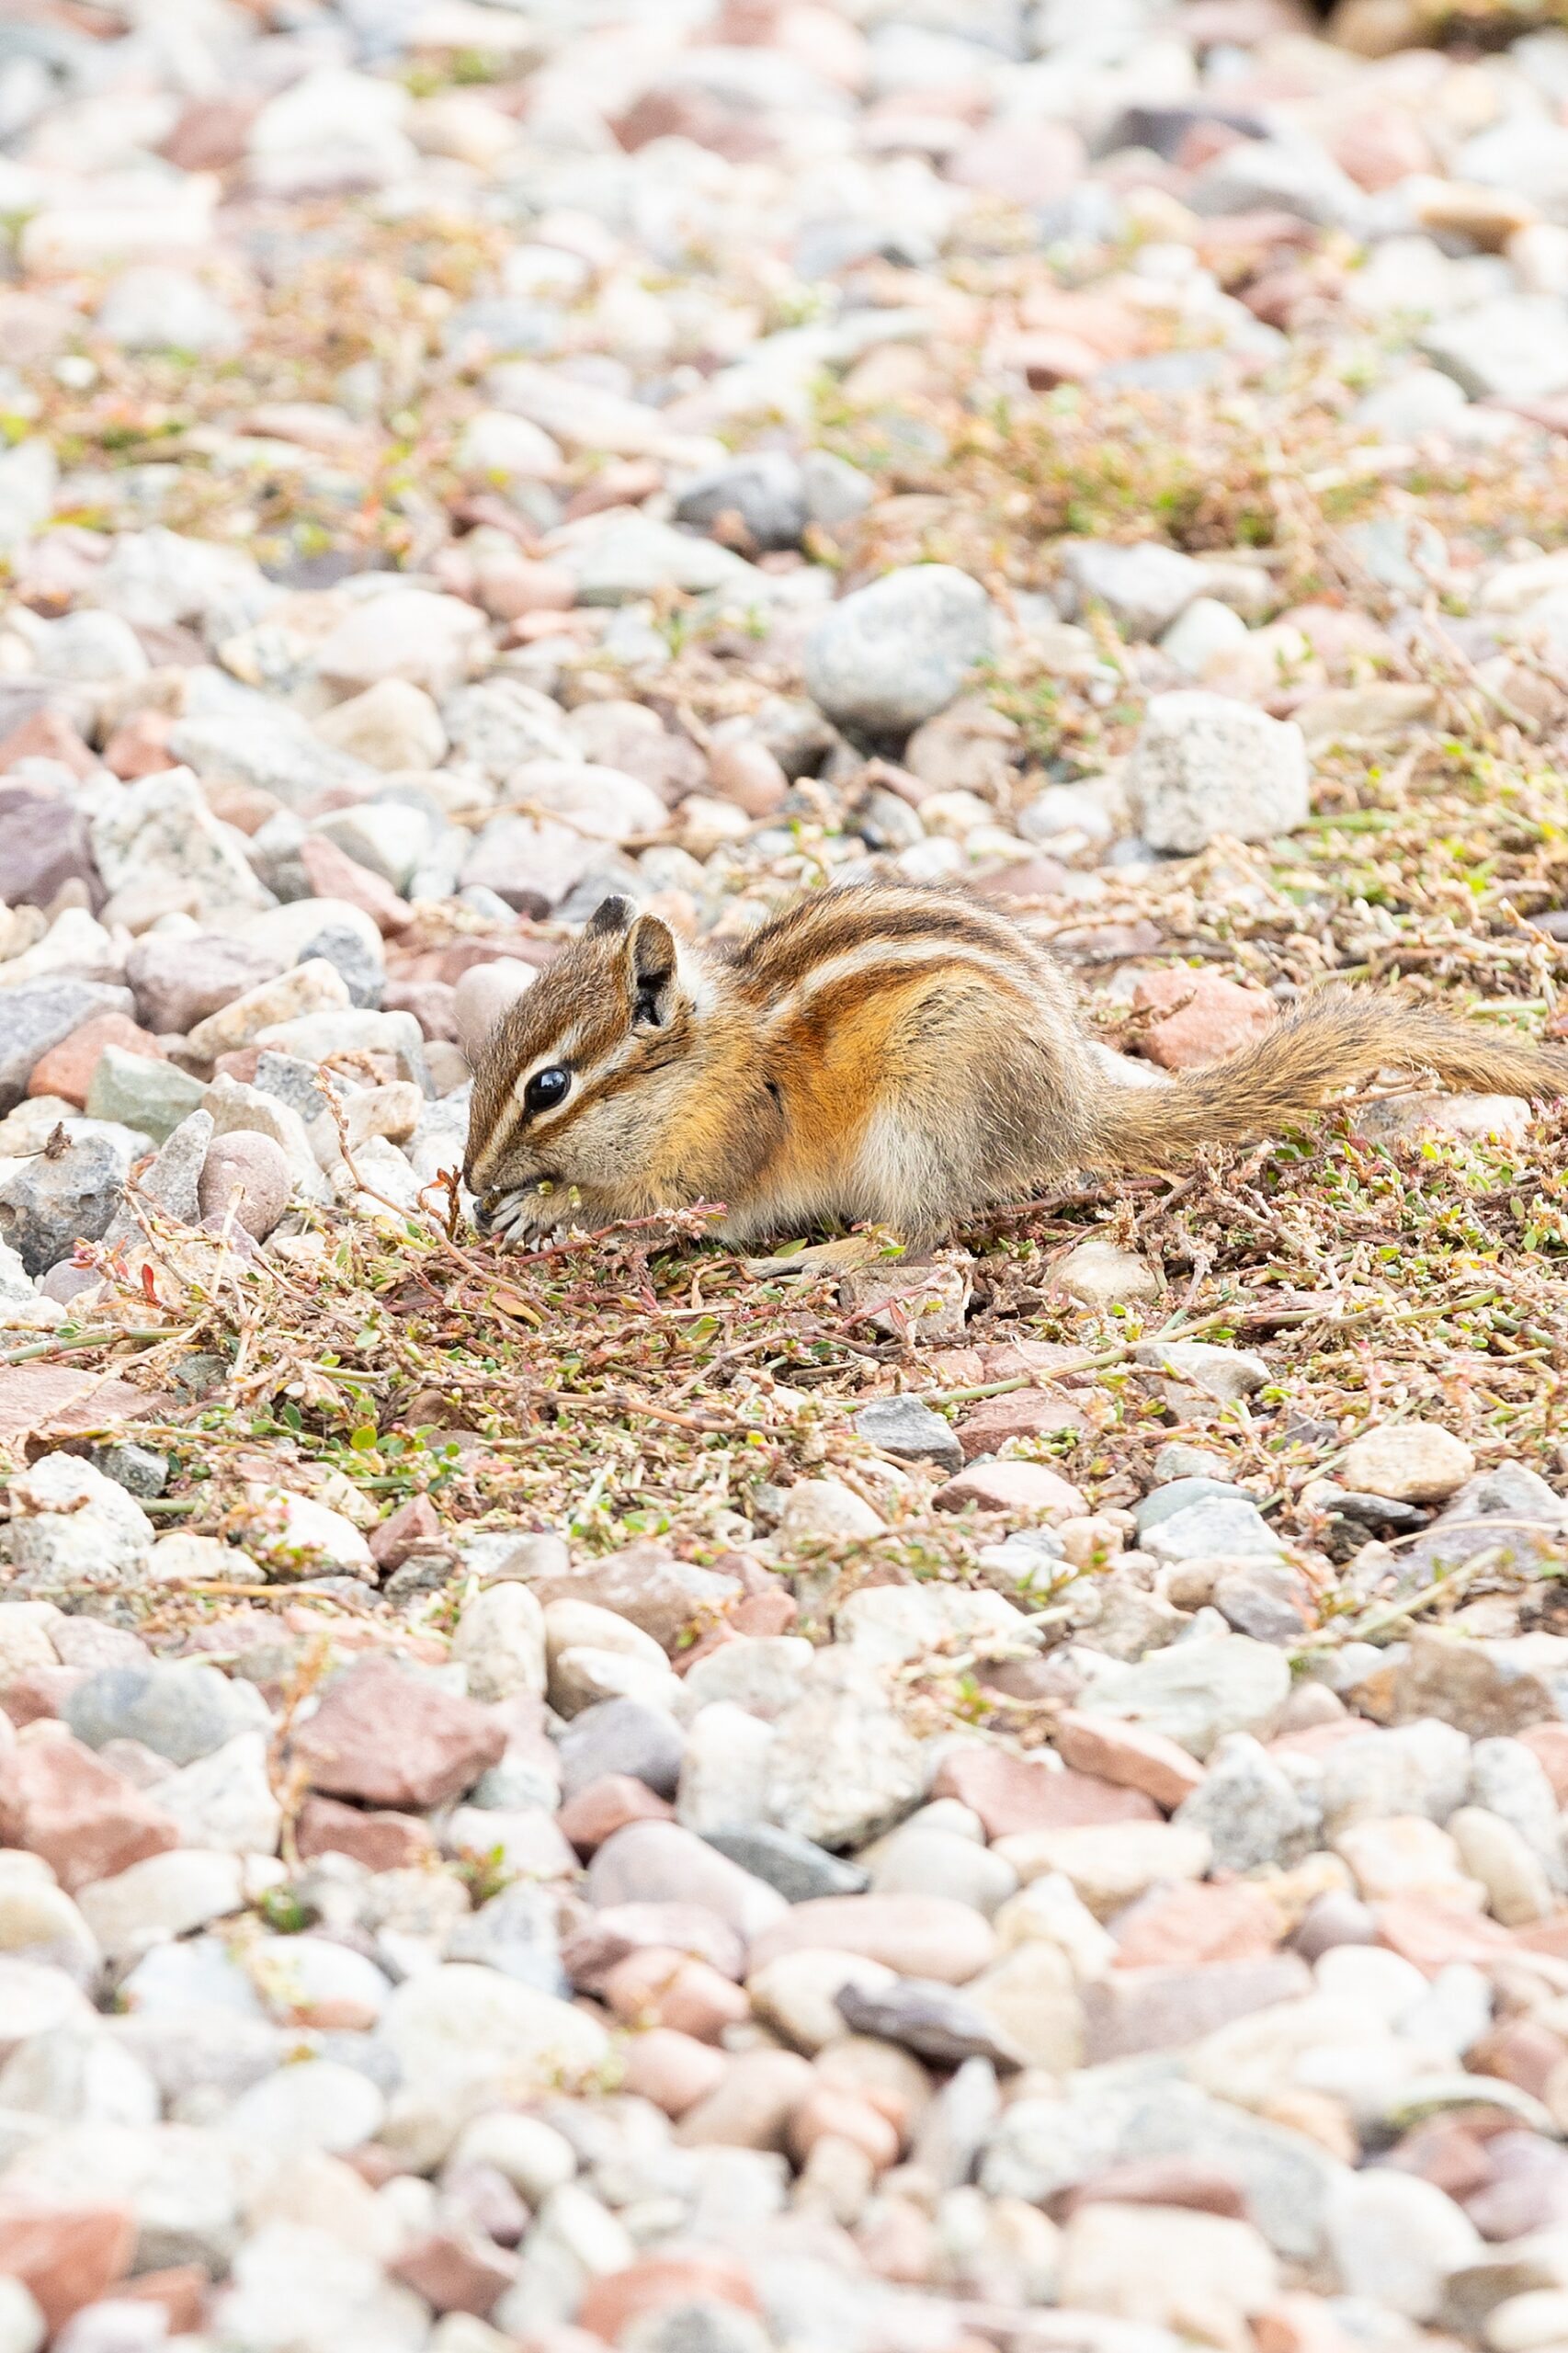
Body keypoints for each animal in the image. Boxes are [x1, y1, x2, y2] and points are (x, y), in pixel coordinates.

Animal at [464, 882, 1568, 1250]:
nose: (470, 1180)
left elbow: (655, 1204)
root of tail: (1072, 1109)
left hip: (921, 1118)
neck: (702, 1060)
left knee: (919, 1238)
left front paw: (544, 1208)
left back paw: (820, 1263)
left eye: (549, 1087)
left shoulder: (718, 1148)